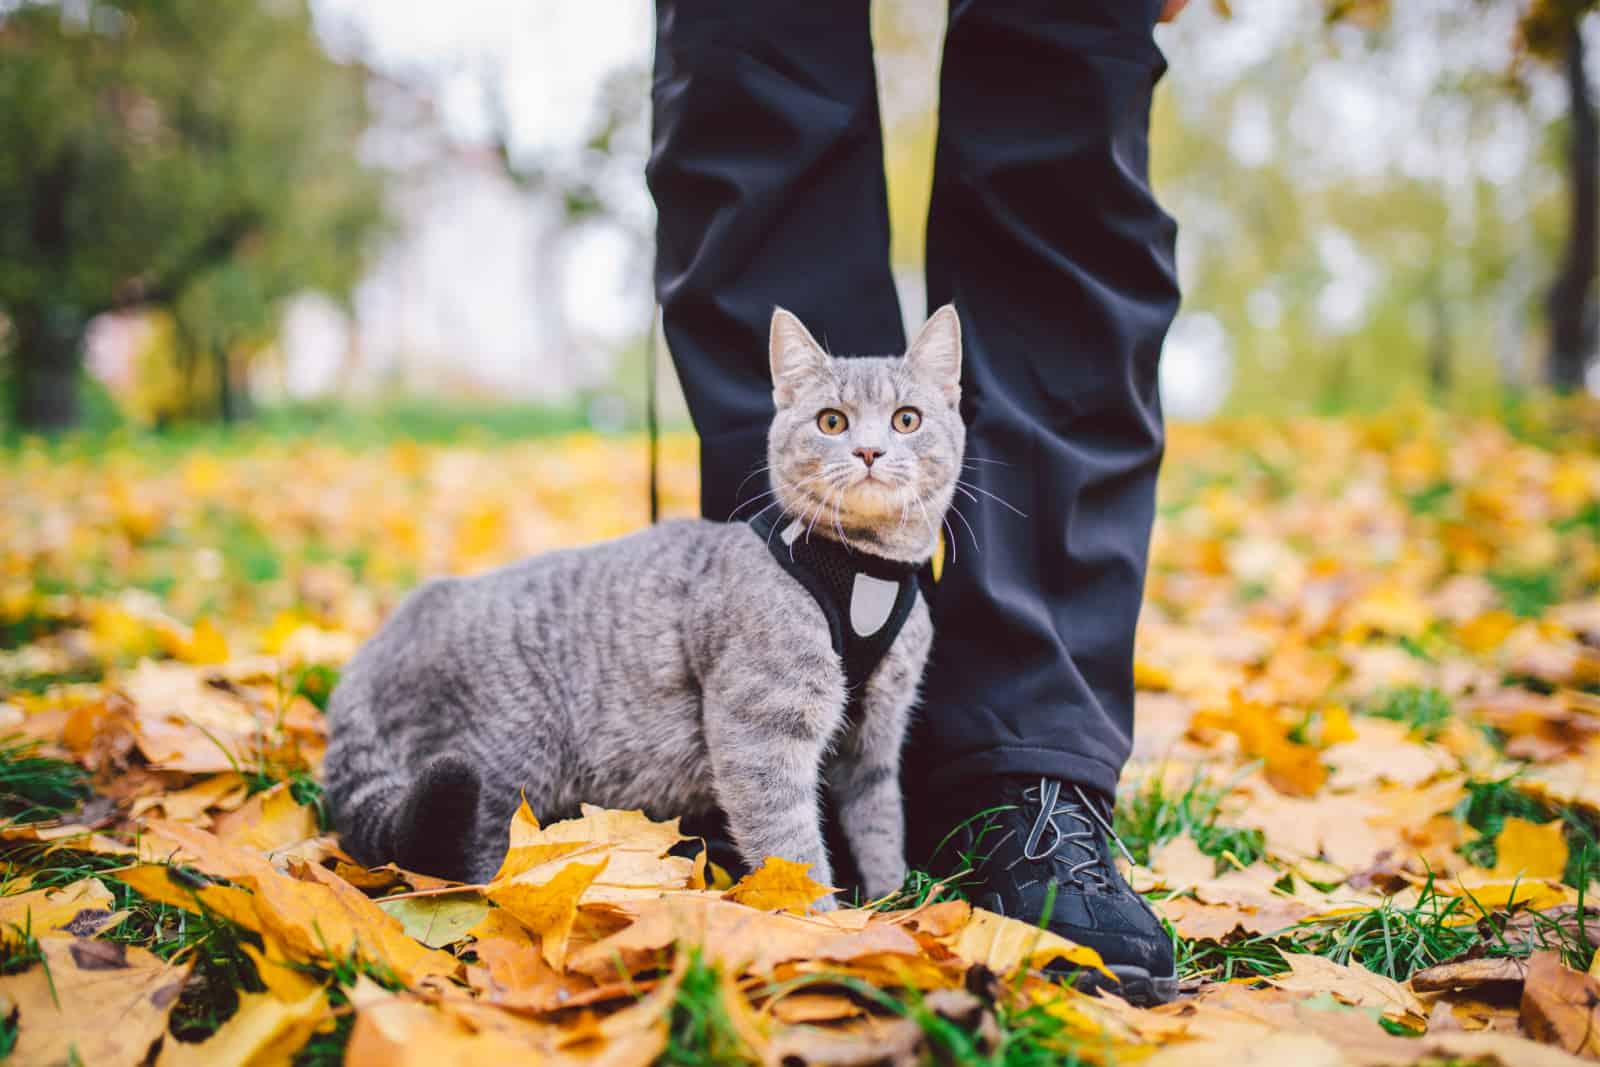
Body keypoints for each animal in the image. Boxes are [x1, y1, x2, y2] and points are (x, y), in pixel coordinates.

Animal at [324, 307, 960, 902]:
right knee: (467, 862)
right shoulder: (759, 735)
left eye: (907, 419)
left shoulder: (877, 735)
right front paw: (825, 924)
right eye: (832, 421)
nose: (870, 450)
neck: (862, 573)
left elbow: (880, 824)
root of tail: (377, 646)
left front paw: (892, 907)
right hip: (504, 761)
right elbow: (791, 847)